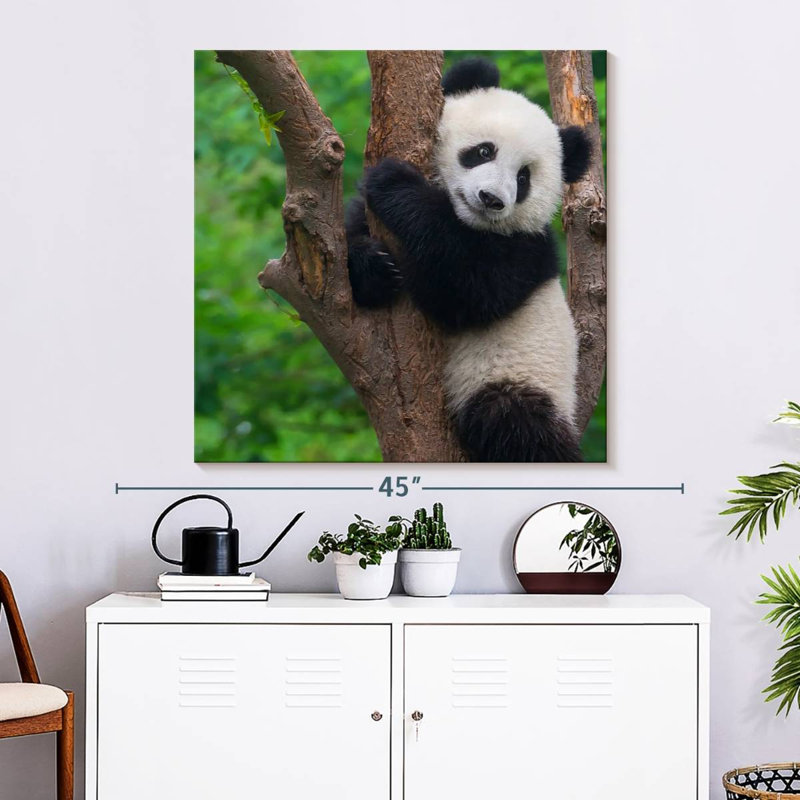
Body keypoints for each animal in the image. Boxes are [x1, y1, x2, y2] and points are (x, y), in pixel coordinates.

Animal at [346, 57, 592, 462]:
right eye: (483, 151)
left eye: (523, 178)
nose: (492, 199)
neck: (467, 221)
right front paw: (373, 268)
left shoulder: (525, 250)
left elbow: (467, 292)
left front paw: (395, 184)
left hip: (518, 377)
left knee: (515, 424)